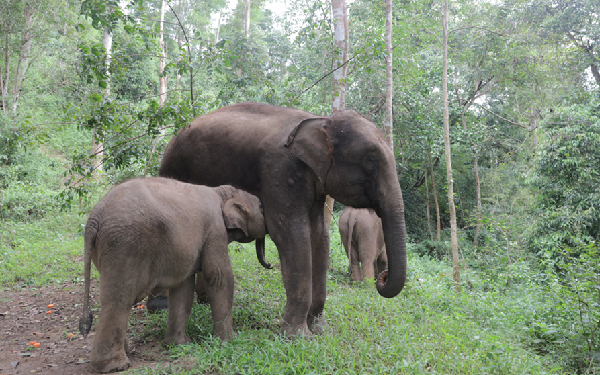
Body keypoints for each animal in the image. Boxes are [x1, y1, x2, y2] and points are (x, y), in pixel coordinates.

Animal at [78, 178, 266, 374]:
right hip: (125, 246)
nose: (269, 265)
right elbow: (219, 276)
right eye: (261, 206)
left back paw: (125, 353)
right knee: (119, 301)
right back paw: (116, 366)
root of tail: (93, 218)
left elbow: (184, 286)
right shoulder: (215, 229)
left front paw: (180, 345)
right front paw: (230, 340)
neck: (221, 192)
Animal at [158, 102, 408, 338]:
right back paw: (162, 305)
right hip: (173, 166)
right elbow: (291, 235)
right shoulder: (279, 170)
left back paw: (202, 301)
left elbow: (319, 236)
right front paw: (299, 336)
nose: (383, 278)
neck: (320, 121)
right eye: (370, 158)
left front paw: (319, 329)